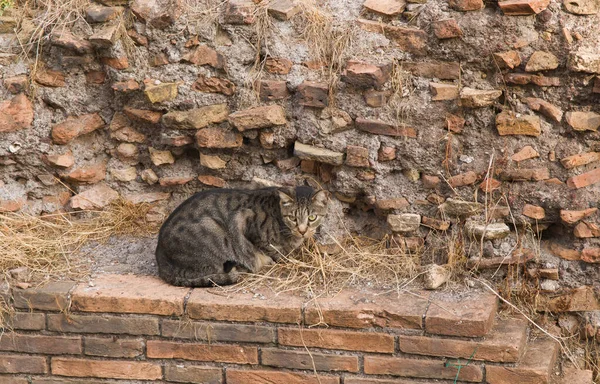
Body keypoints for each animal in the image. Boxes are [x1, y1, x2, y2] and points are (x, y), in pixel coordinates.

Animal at [155, 184, 328, 286]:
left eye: (312, 218)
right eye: (292, 218)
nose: (302, 230)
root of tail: (160, 257)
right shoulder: (244, 220)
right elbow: (272, 250)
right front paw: (283, 258)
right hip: (212, 231)